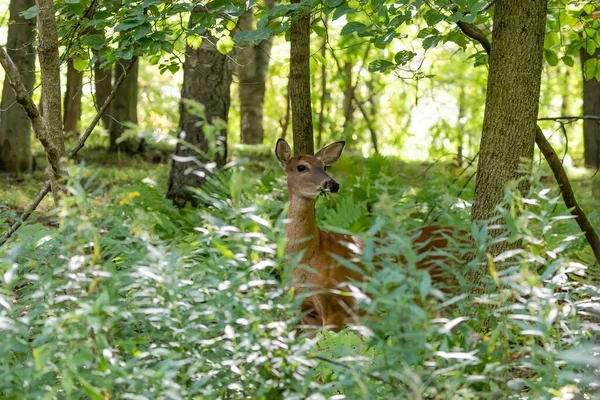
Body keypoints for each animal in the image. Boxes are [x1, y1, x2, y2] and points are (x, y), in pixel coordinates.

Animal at [276, 138, 464, 332]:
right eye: (301, 167)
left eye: (324, 166)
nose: (333, 184)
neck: (309, 254)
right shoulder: (306, 312)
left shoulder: (334, 305)